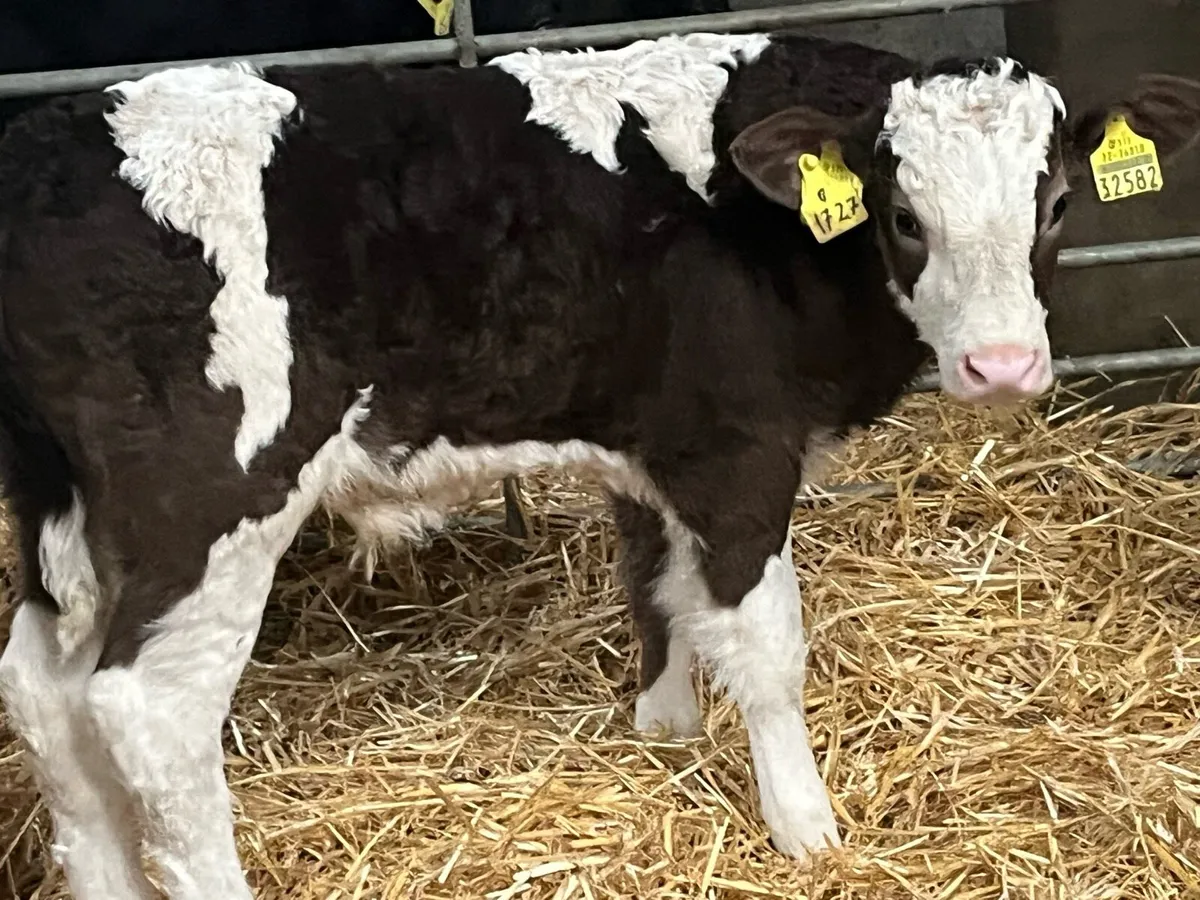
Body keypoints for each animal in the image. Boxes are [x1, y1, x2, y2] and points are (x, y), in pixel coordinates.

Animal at [0, 29, 1198, 900]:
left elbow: (657, 586)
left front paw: (663, 731)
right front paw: (807, 829)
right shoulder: (738, 450)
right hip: (209, 503)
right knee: (148, 713)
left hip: (58, 510)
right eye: (903, 216)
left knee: (45, 694)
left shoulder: (651, 442)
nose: (1004, 366)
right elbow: (766, 643)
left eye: (1058, 204)